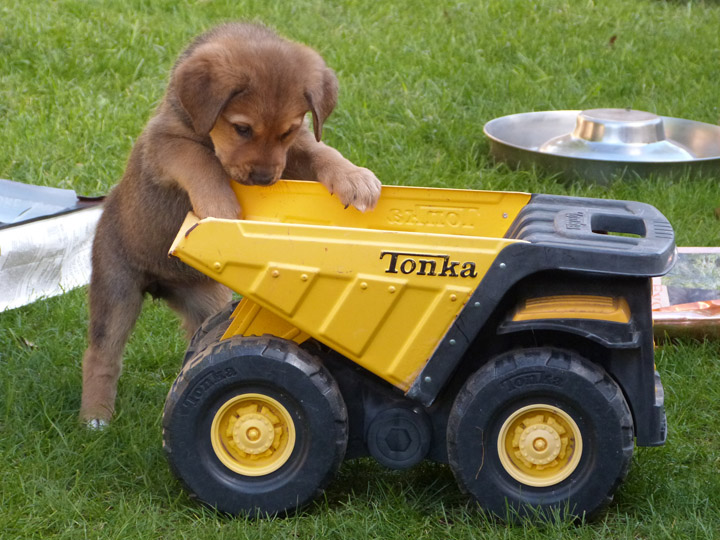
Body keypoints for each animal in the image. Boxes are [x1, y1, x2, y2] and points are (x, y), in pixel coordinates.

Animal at [80, 21, 382, 426]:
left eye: (286, 130)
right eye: (242, 128)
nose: (263, 179)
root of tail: (161, 283)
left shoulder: (295, 154)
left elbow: (321, 150)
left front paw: (354, 177)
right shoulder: (165, 144)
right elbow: (199, 161)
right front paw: (221, 207)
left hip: (207, 301)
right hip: (117, 288)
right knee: (101, 355)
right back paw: (95, 416)